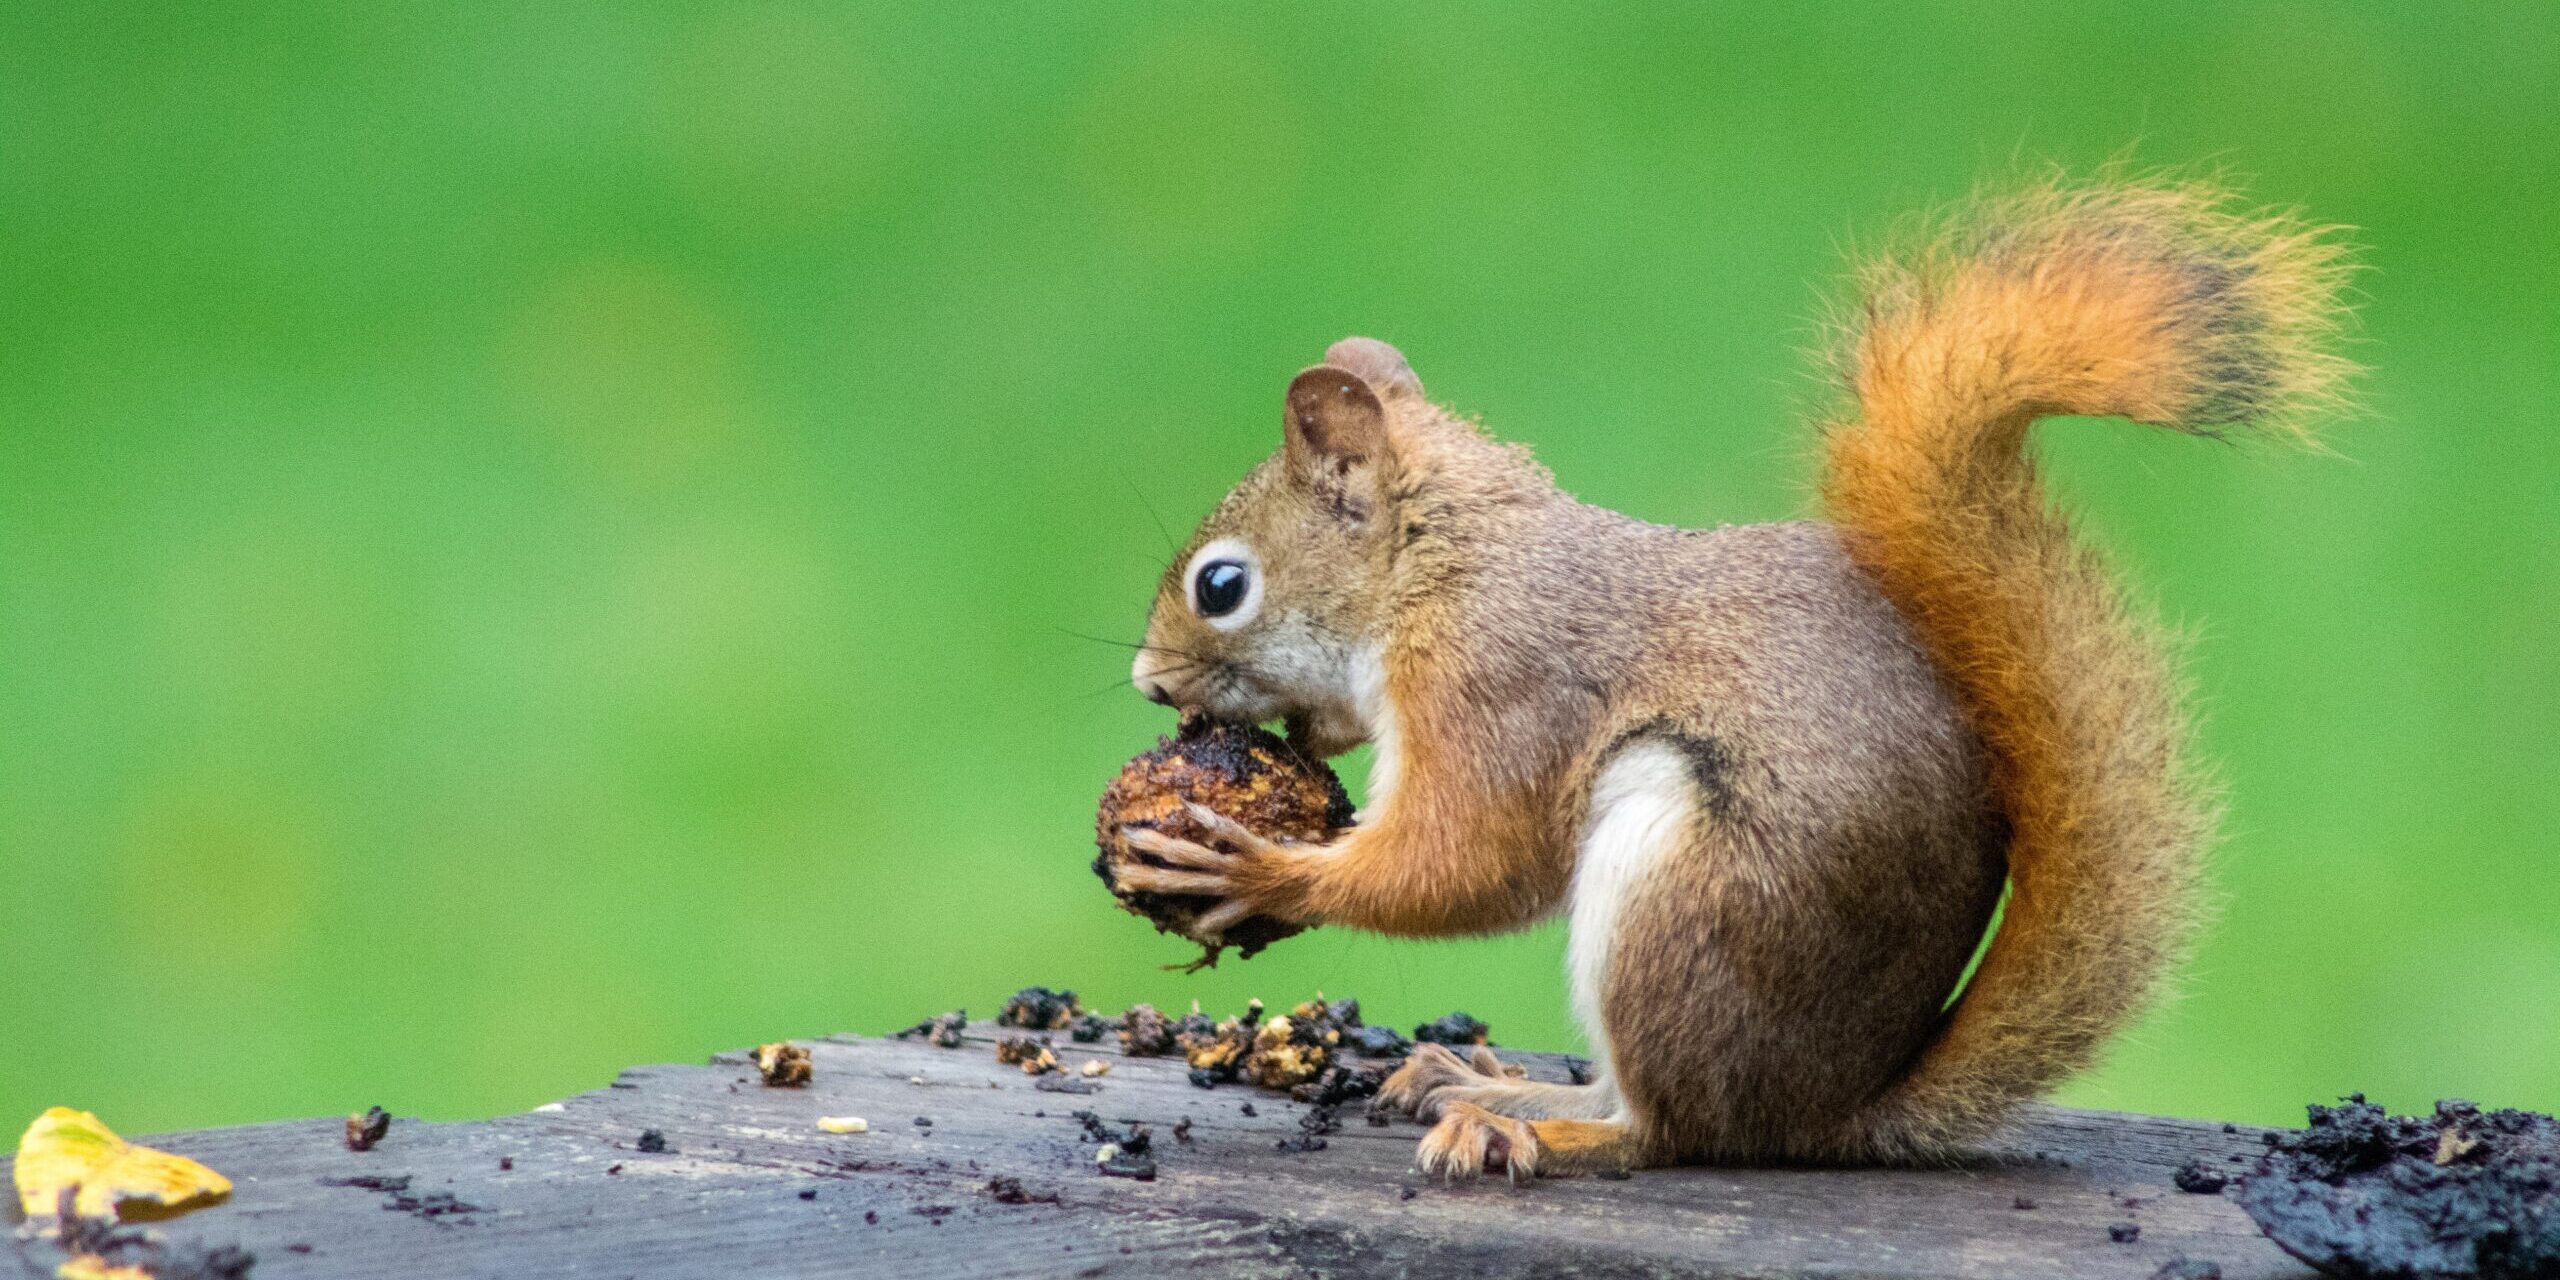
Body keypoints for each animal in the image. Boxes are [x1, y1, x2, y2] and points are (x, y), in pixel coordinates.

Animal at [1114, 178, 2354, 1175]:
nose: (1147, 681)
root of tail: (1827, 1110)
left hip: (1680, 892)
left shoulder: (1499, 684)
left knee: (1666, 1130)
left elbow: (1467, 861)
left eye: (1221, 585)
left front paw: (1259, 866)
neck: (1444, 564)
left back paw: (1532, 1125)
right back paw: (1483, 1079)